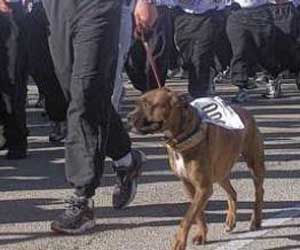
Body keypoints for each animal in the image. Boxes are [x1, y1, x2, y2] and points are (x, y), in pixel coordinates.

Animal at [131, 88, 264, 250]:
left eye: (148, 104)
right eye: (138, 103)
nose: (128, 117)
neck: (182, 137)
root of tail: (246, 112)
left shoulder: (203, 188)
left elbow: (187, 218)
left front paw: (179, 242)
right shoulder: (190, 186)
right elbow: (198, 214)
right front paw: (201, 235)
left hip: (254, 165)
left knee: (259, 192)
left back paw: (255, 221)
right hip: (220, 173)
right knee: (232, 193)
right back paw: (230, 221)